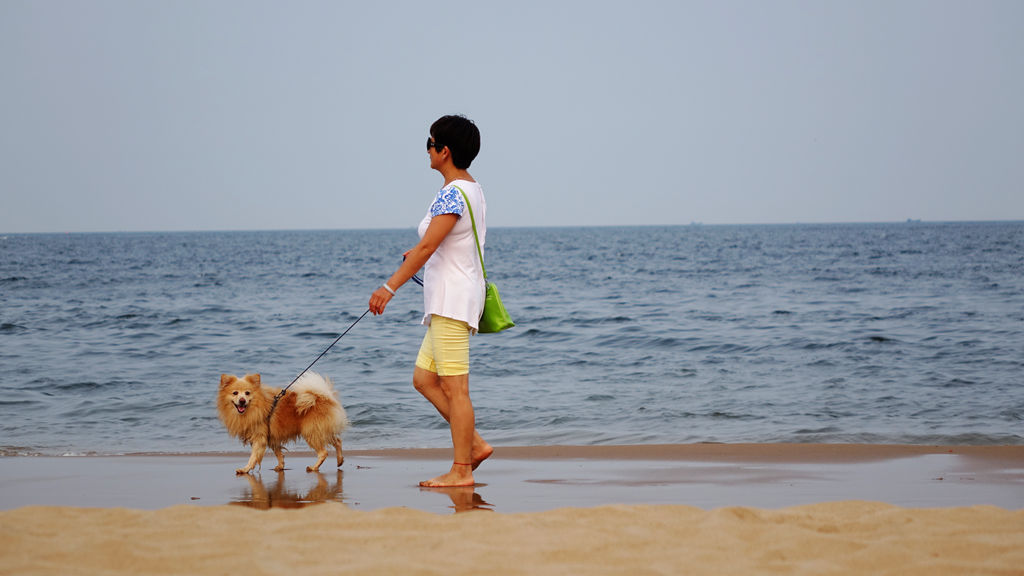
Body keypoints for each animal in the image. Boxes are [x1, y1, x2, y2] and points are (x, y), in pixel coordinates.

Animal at [216, 368, 348, 473]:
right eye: (235, 393)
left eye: (247, 393)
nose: (242, 400)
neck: (256, 407)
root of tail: (324, 397)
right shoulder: (271, 437)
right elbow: (278, 453)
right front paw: (280, 466)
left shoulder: (260, 438)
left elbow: (253, 456)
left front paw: (245, 469)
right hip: (321, 430)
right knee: (338, 441)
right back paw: (340, 460)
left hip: (311, 432)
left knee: (323, 452)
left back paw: (314, 467)